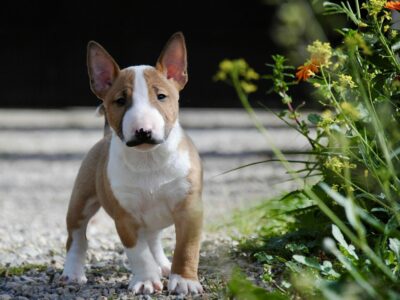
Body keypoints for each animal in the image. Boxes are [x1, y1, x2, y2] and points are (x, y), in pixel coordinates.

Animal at [61, 32, 203, 296]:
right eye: (119, 101)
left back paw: (163, 265)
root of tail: (105, 136)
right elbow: (138, 253)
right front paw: (146, 280)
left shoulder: (190, 208)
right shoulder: (125, 217)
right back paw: (73, 273)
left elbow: (187, 248)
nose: (143, 131)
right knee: (77, 237)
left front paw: (185, 281)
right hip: (80, 201)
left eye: (161, 96)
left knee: (154, 239)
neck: (149, 160)